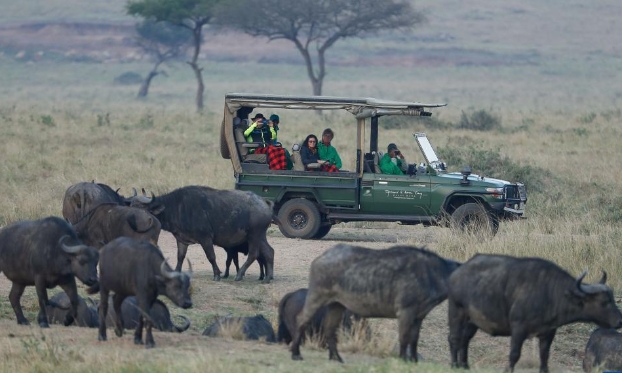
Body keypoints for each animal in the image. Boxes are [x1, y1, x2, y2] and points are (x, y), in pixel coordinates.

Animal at [131, 186, 276, 282]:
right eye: (131, 205)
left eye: (140, 208)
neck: (177, 207)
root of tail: (264, 202)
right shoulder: (181, 239)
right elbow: (180, 257)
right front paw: (176, 272)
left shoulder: (205, 238)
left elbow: (211, 256)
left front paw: (217, 274)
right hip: (260, 237)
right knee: (269, 251)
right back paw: (268, 277)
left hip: (254, 236)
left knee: (254, 254)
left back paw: (239, 275)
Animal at [290, 243, 460, 362]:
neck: (432, 273)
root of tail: (321, 258)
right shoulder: (405, 312)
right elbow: (404, 337)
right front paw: (404, 359)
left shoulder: (419, 316)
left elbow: (414, 339)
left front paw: (413, 360)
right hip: (316, 297)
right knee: (301, 319)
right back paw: (296, 353)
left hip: (336, 305)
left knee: (330, 328)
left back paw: (336, 358)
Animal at [448, 253, 622, 372]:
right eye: (604, 302)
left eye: (612, 299)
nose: (619, 321)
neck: (550, 293)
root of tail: (458, 271)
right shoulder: (518, 329)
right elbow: (514, 354)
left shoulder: (548, 333)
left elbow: (544, 357)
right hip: (456, 312)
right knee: (454, 338)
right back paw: (454, 365)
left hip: (472, 321)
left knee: (465, 340)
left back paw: (464, 366)